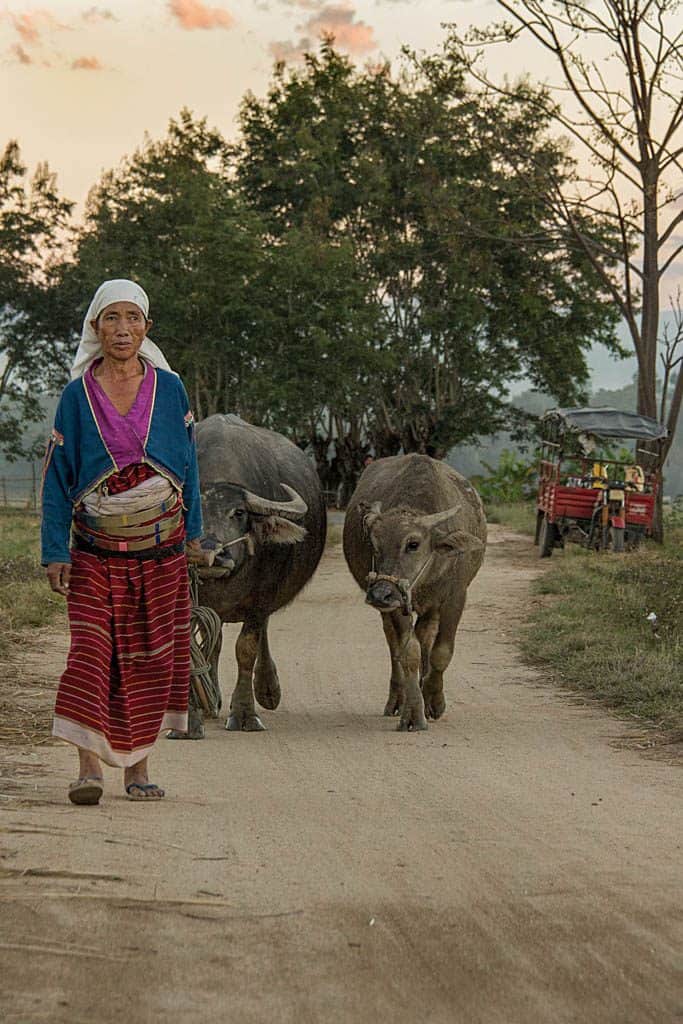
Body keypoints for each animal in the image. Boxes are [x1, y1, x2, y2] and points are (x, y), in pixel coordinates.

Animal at [179, 415, 325, 737]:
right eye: (192, 513)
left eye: (239, 513)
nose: (210, 553)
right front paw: (188, 719)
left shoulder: (261, 599)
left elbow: (246, 648)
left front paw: (245, 714)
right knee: (214, 640)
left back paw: (268, 690)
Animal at [342, 454, 485, 729]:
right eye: (374, 545)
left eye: (413, 544)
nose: (379, 594)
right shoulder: (398, 603)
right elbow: (409, 653)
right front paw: (413, 712)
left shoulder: (455, 597)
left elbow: (441, 652)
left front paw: (434, 700)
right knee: (394, 645)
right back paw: (397, 698)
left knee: (426, 634)